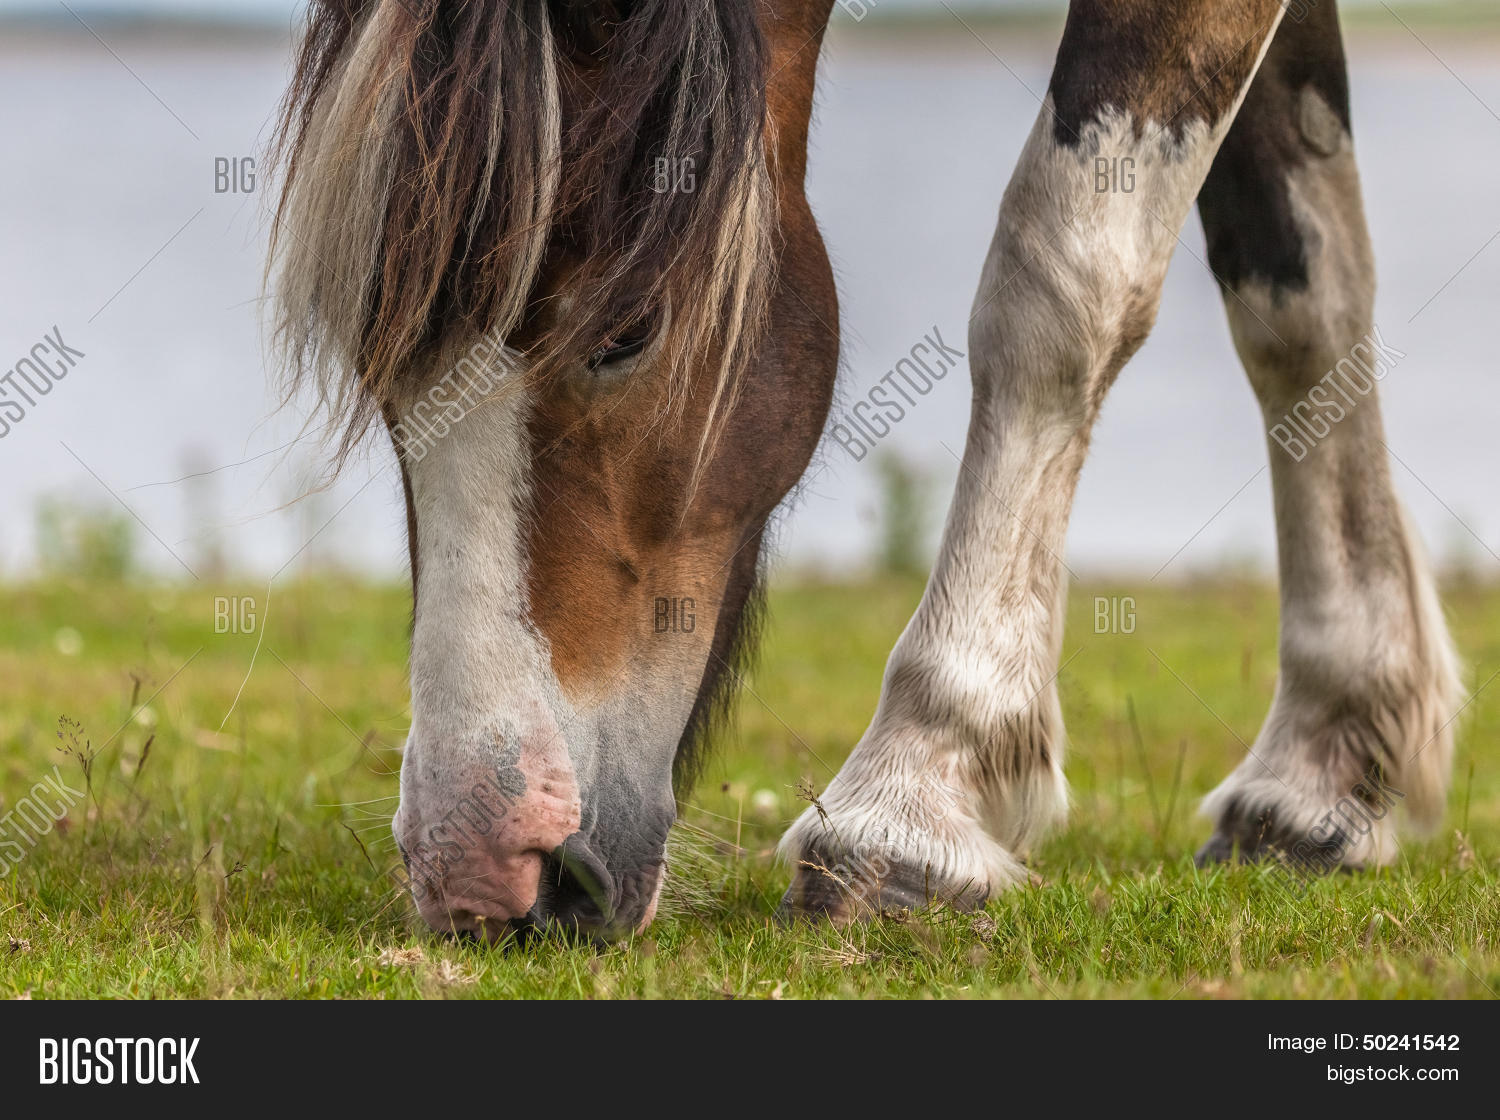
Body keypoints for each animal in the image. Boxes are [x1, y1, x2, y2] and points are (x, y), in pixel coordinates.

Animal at [269, 0, 1460, 937]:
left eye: (627, 328)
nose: (482, 873)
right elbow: (1298, 291)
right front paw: (1328, 757)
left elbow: (1059, 278)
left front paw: (913, 797)